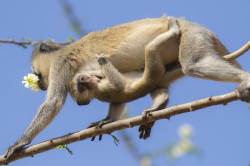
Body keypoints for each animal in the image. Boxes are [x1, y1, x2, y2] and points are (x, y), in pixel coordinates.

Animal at [4, 16, 250, 159]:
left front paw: (20, 143)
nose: (40, 83)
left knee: (192, 65)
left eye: (36, 74)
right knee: (162, 78)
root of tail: (200, 28)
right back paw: (158, 107)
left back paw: (244, 79)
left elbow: (53, 102)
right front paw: (107, 120)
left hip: (191, 35)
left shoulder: (62, 64)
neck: (63, 50)